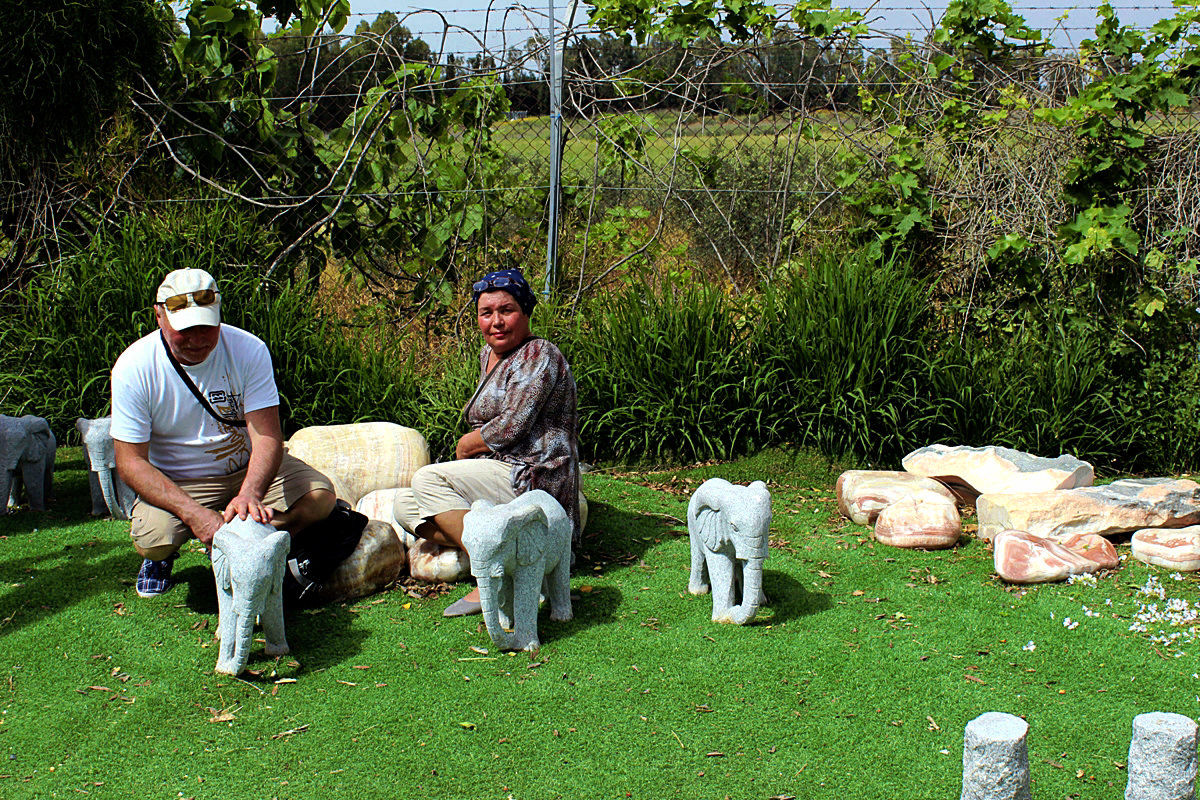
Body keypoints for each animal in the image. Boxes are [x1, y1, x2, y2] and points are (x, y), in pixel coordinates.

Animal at [211, 515, 290, 671]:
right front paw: (222, 670)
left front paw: (279, 653)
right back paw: (219, 634)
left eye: (265, 581)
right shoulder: (224, 576)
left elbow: (273, 612)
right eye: (234, 581)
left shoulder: (276, 577)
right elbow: (229, 613)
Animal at [458, 491, 571, 652]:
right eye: (466, 545)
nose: (511, 635)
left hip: (565, 534)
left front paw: (529, 648)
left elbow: (526, 591)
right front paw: (506, 625)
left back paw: (562, 619)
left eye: (502, 545)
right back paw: (542, 601)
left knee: (560, 574)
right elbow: (504, 587)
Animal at [691, 474, 772, 623]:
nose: (736, 608)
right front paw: (722, 619)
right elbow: (721, 567)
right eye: (733, 527)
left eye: (769, 522)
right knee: (698, 556)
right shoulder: (715, 535)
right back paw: (697, 592)